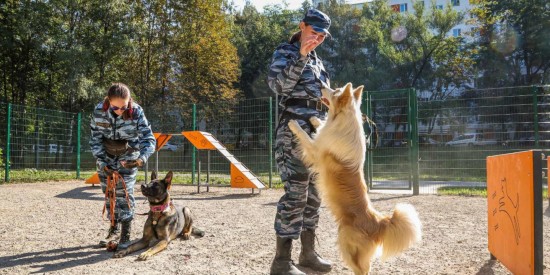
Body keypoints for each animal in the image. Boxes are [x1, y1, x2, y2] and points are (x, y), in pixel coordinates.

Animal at [288, 83, 422, 274]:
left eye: (334, 91)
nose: (321, 85)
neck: (342, 118)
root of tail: (379, 222)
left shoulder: (316, 150)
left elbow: (306, 137)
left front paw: (294, 124)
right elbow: (320, 126)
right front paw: (315, 119)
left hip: (346, 242)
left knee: (362, 269)